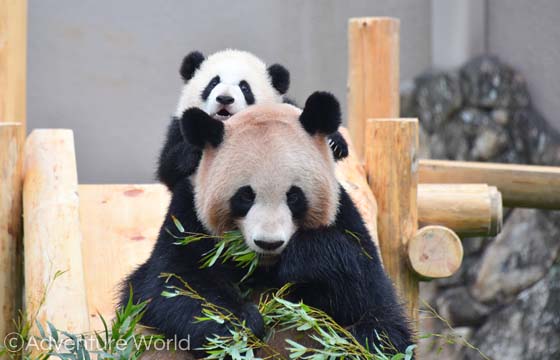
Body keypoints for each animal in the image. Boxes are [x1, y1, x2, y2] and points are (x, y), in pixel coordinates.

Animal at [122, 92, 412, 358]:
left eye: (293, 196)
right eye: (245, 196)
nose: (268, 243)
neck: (263, 267)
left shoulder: (345, 219)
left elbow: (380, 315)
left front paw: (305, 258)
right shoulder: (187, 217)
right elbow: (167, 284)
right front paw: (239, 325)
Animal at [153, 50, 346, 191]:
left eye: (244, 88)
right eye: (213, 83)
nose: (225, 98)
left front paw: (334, 143)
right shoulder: (179, 127)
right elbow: (168, 166)